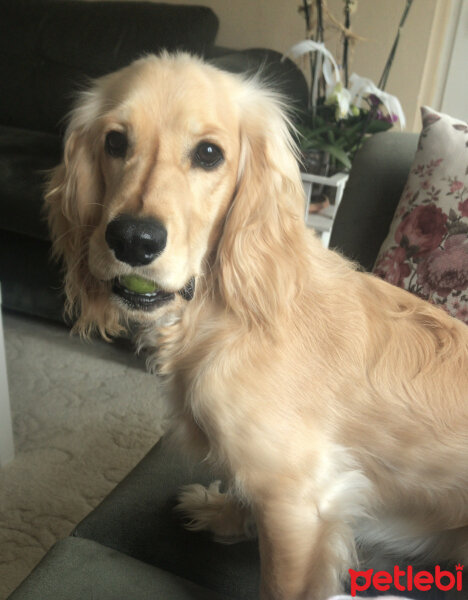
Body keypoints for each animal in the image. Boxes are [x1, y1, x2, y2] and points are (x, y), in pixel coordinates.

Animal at [44, 54, 468, 596]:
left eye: (209, 153)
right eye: (115, 142)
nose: (133, 240)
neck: (223, 314)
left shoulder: (299, 501)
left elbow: (282, 579)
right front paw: (224, 513)